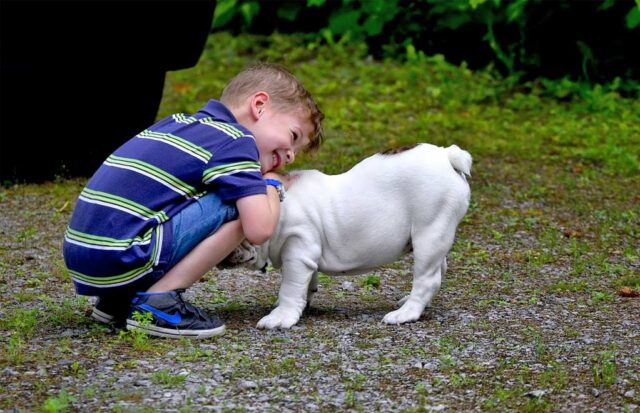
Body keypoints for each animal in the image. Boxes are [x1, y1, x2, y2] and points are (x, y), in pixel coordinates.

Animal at [224, 143, 470, 330]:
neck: (276, 205)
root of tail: (447, 156)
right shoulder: (305, 257)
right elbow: (307, 283)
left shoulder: (297, 252)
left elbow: (290, 287)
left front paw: (280, 317)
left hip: (429, 232)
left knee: (427, 278)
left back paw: (405, 313)